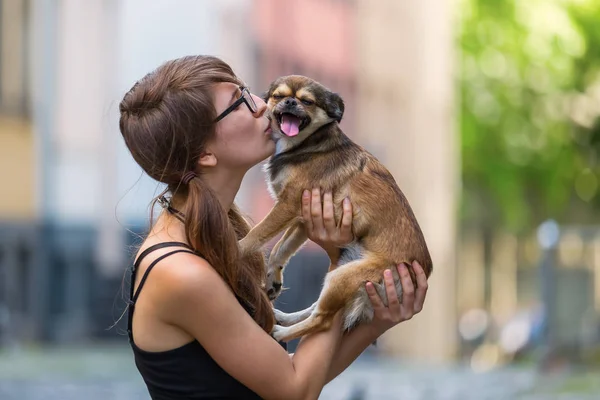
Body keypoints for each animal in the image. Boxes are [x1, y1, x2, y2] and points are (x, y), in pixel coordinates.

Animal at [239, 75, 432, 340]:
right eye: (278, 96)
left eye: (307, 102)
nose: (290, 102)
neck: (306, 145)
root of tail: (422, 270)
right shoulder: (303, 219)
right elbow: (280, 249)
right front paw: (272, 279)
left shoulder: (288, 205)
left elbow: (257, 234)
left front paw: (236, 249)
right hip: (340, 271)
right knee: (316, 308)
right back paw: (285, 318)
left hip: (344, 276)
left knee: (323, 320)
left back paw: (280, 333)